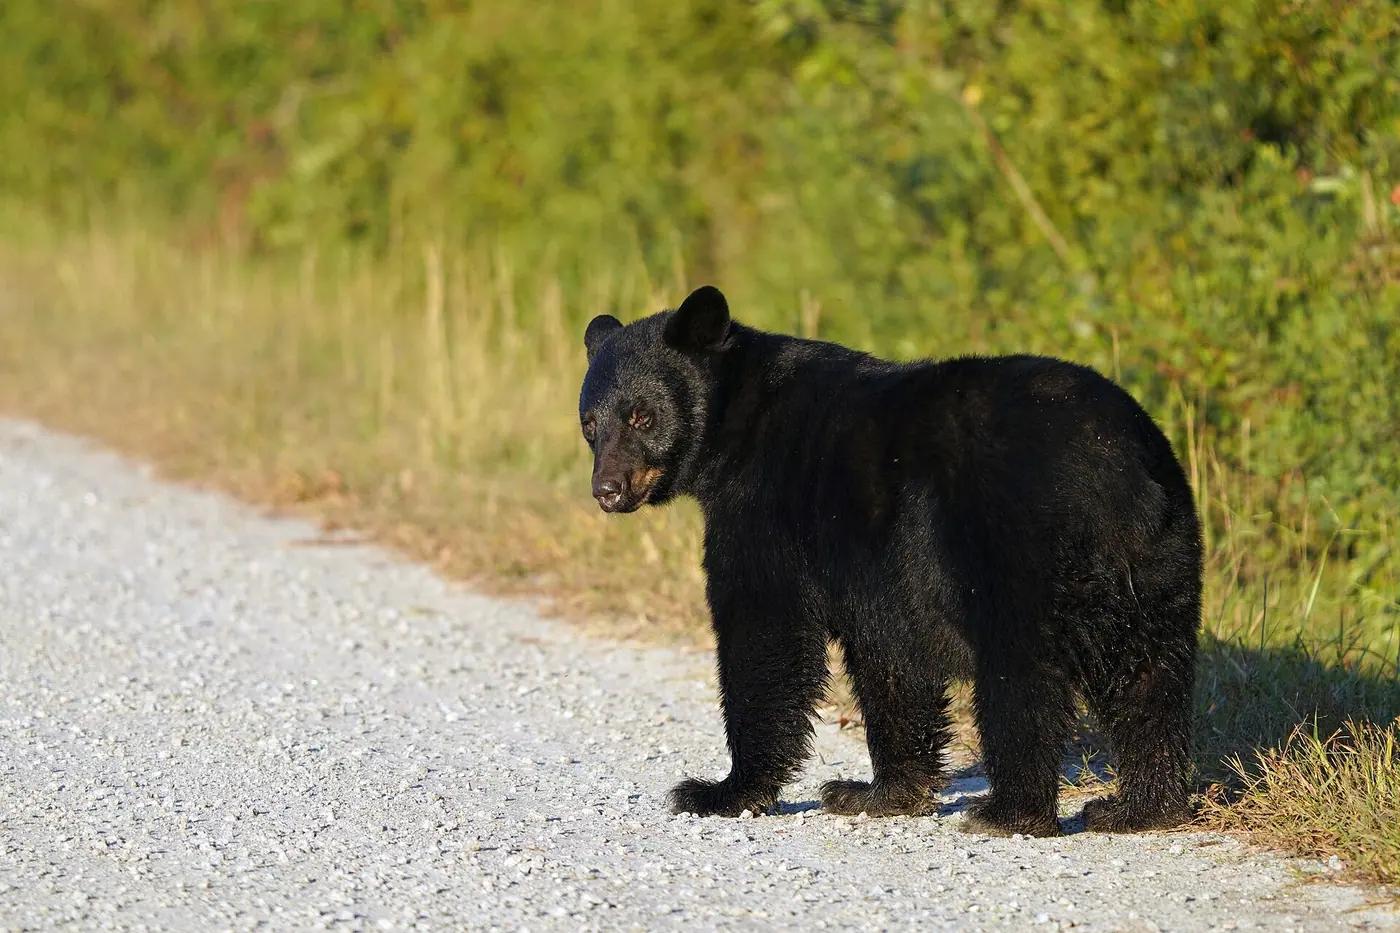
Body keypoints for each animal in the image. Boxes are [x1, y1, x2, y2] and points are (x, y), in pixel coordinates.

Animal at [578, 285, 1201, 836]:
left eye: (641, 417)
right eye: (590, 423)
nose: (606, 490)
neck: (739, 426)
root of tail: (1114, 470)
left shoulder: (766, 511)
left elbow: (765, 632)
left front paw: (722, 791)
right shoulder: (883, 577)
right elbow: (891, 662)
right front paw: (877, 794)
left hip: (1018, 554)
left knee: (1022, 678)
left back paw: (1009, 813)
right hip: (1158, 566)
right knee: (1151, 681)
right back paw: (1137, 809)